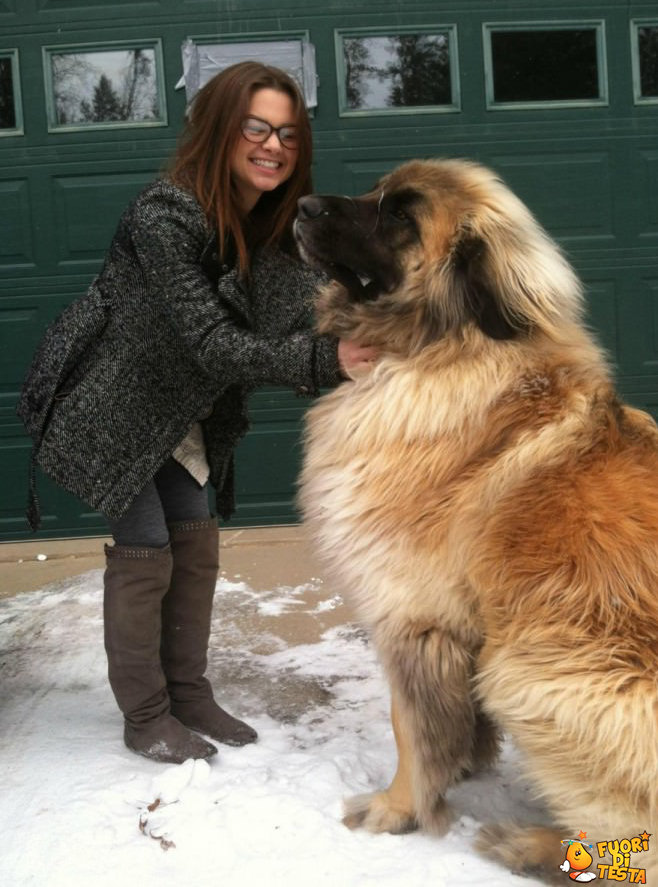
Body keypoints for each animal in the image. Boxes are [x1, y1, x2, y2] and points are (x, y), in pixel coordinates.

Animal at [294, 158, 656, 880]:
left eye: (399, 216)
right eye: (375, 191)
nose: (302, 204)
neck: (440, 346)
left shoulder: (412, 615)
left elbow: (410, 725)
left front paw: (398, 808)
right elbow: (450, 721)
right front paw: (461, 765)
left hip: (530, 670)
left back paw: (530, 843)